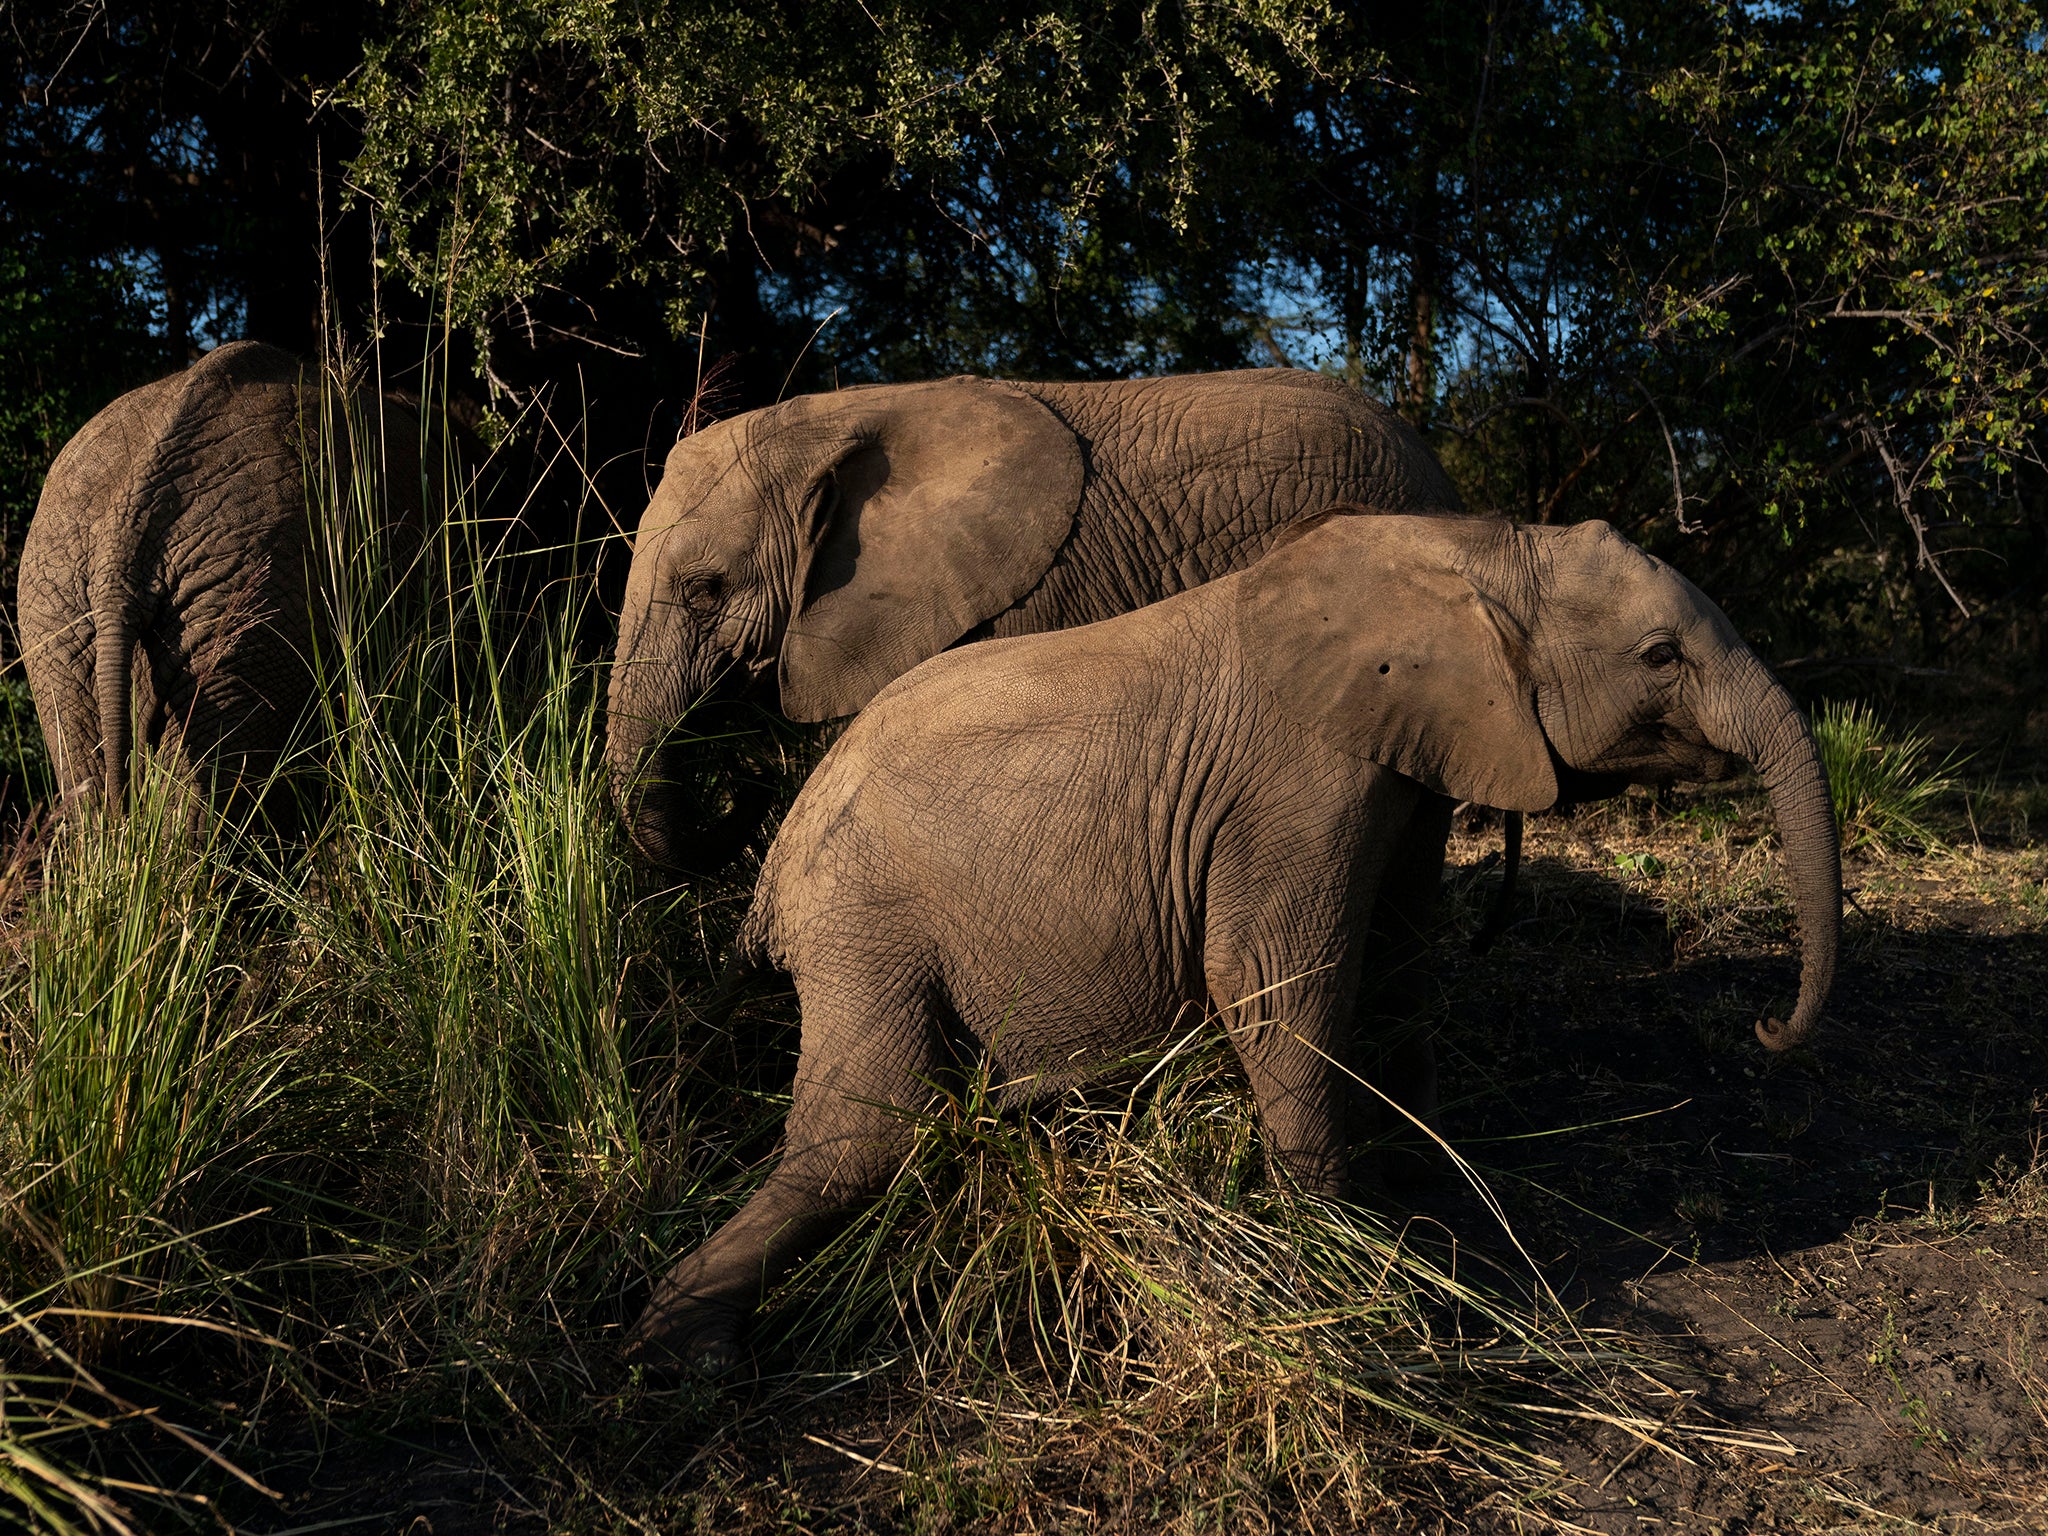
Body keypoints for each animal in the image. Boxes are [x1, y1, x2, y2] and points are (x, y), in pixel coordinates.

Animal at [626, 512, 1843, 1376]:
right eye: (1660, 657)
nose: (1767, 1029)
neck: (1483, 550)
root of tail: (771, 877)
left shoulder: (1407, 766)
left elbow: (1399, 959)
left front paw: (1421, 1196)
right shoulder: (1299, 780)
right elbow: (1273, 985)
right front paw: (1351, 1262)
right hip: (863, 919)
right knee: (866, 1136)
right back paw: (687, 1351)